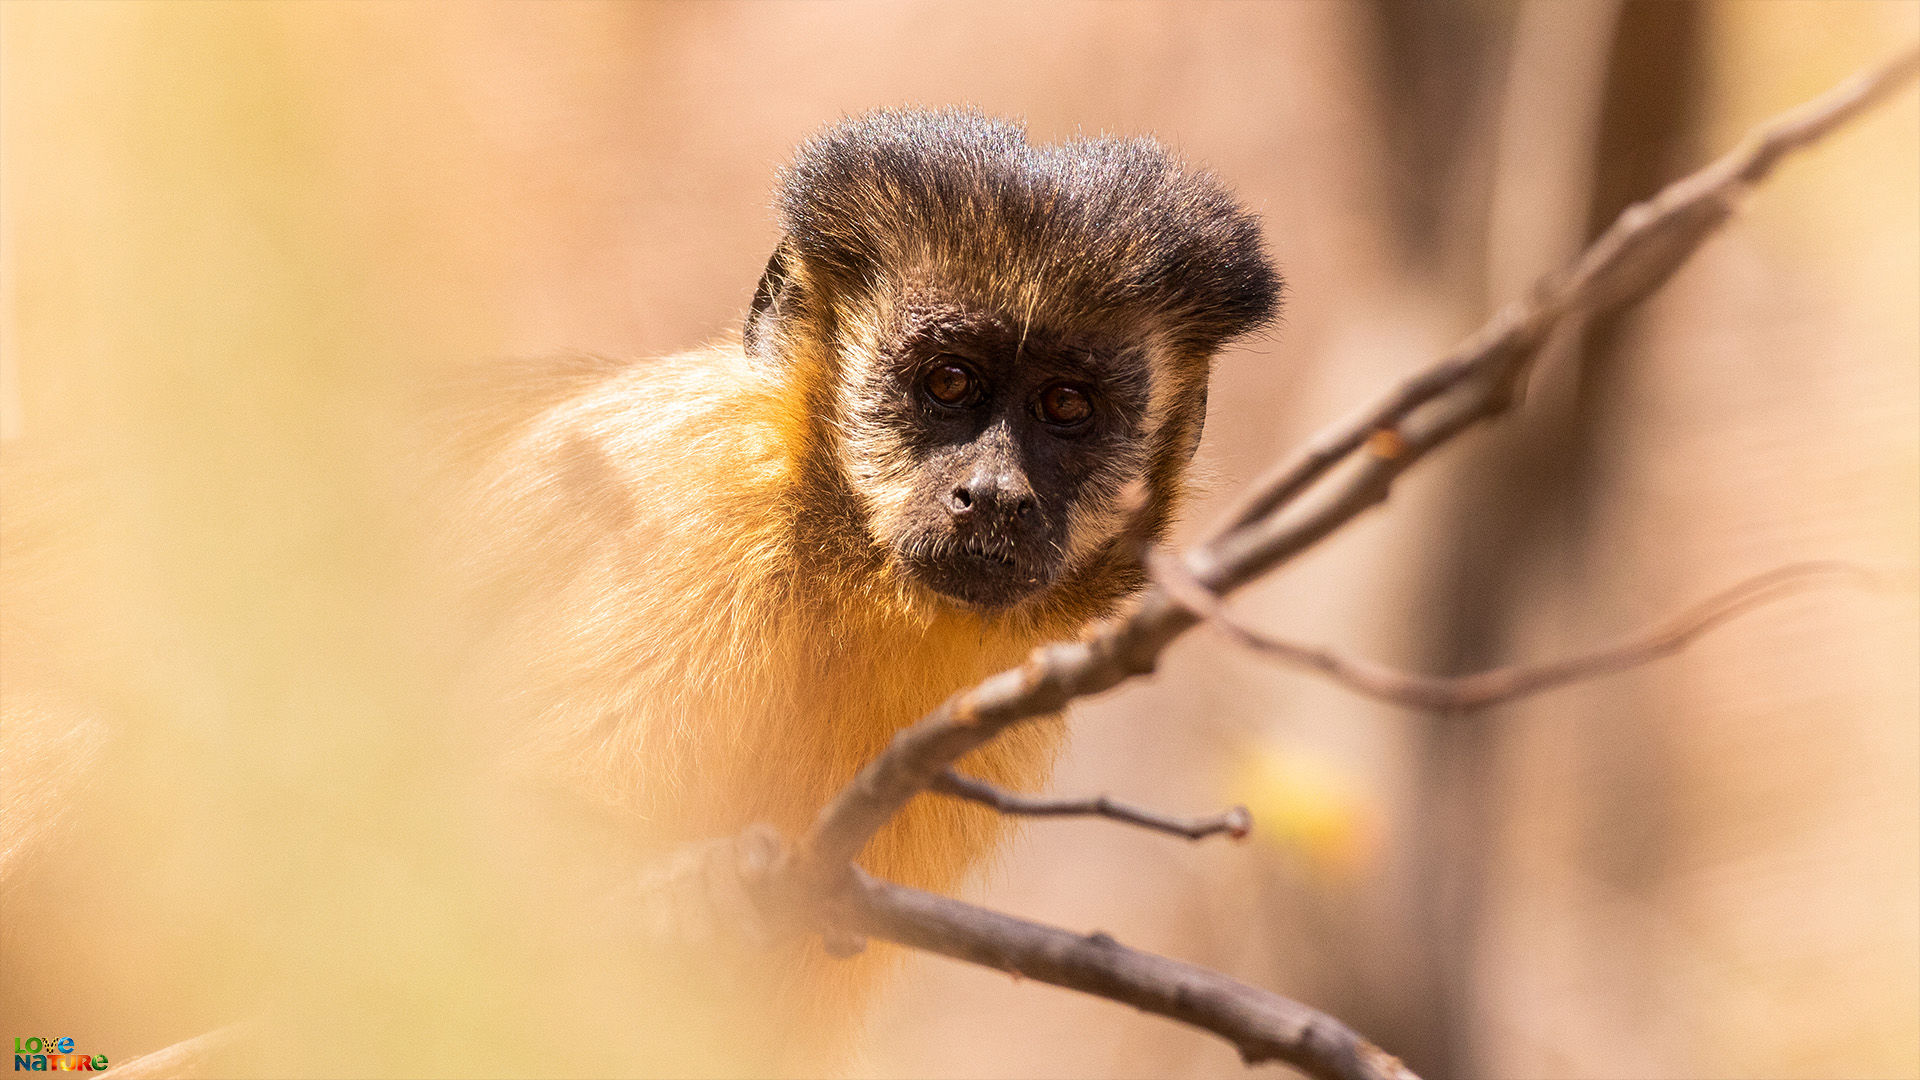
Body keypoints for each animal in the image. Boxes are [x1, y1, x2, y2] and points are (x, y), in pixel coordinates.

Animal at [3, 105, 1274, 1068]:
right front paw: (689, 893)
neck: (837, 553)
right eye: (950, 384)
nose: (995, 494)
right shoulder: (686, 507)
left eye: (1065, 409)